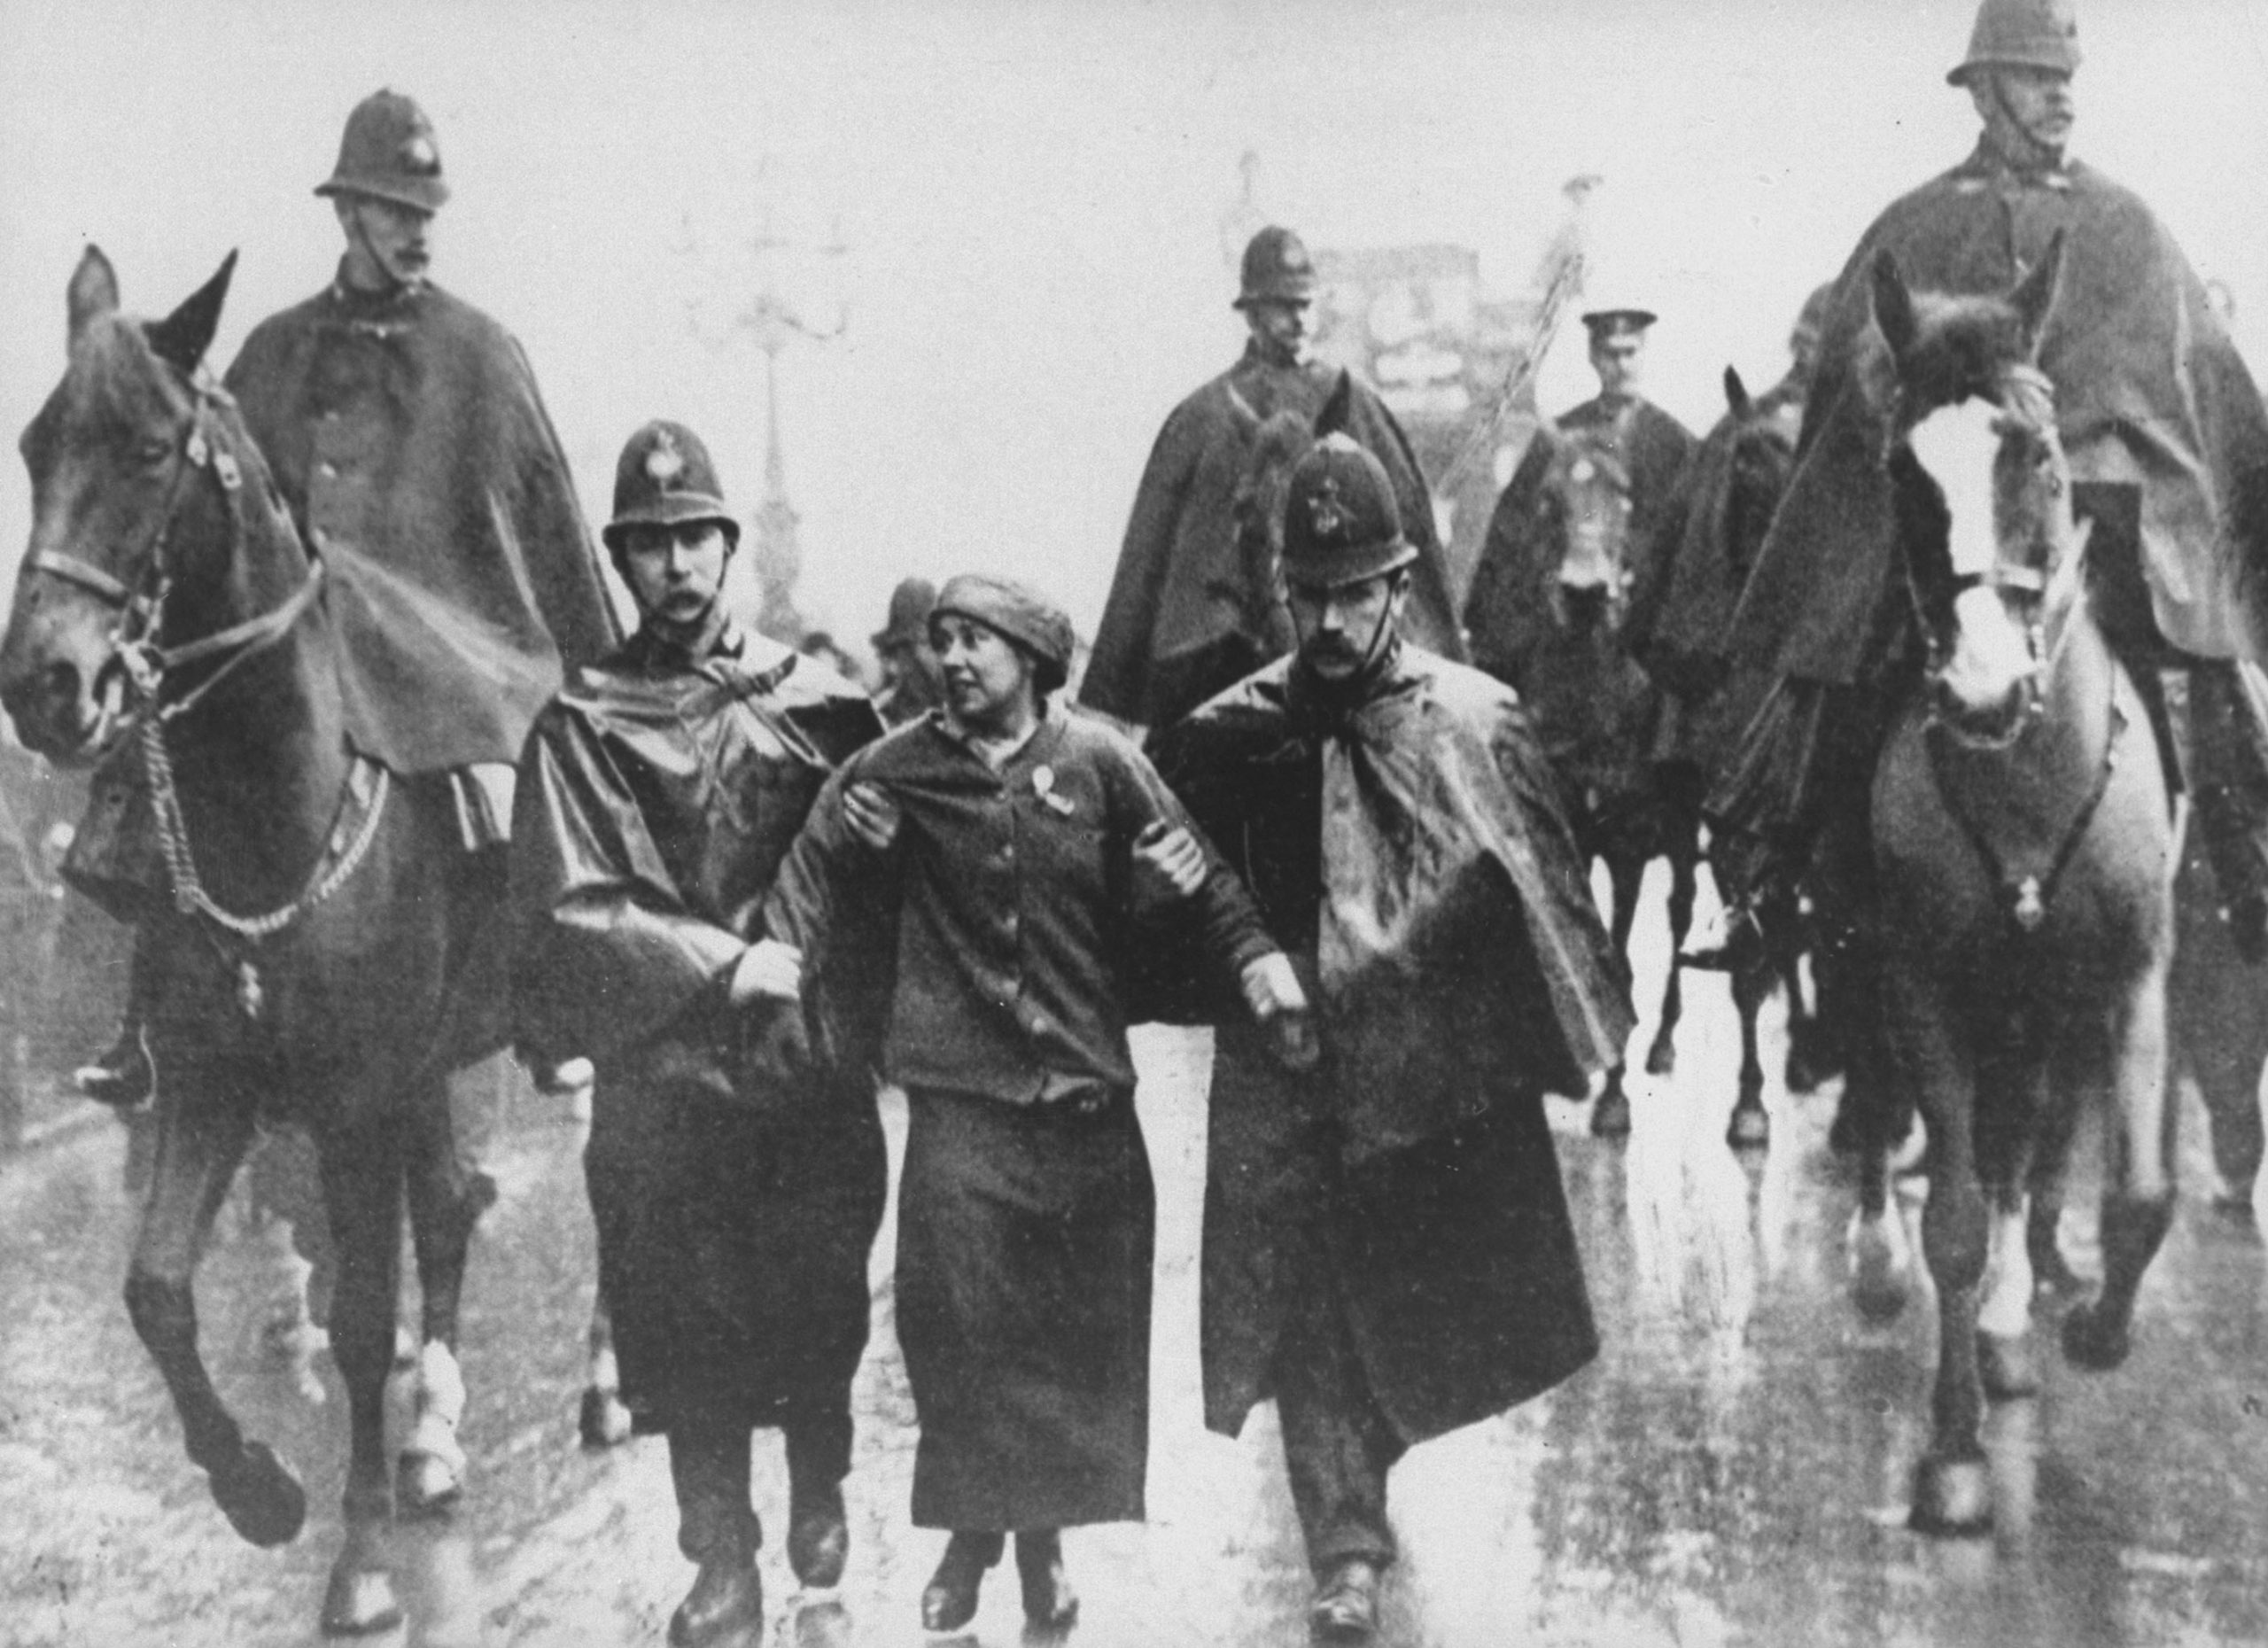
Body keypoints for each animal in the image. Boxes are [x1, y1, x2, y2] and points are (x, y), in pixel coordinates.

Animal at [0, 251, 505, 1632]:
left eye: (148, 447)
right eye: (34, 445)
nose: (42, 684)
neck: (267, 812)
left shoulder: (353, 1103)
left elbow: (362, 1313)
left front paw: (361, 1559)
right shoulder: (212, 1085)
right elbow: (156, 1291)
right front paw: (259, 1490)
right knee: (450, 1206)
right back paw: (428, 1438)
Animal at [1469, 419, 1705, 1133]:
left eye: (1626, 497)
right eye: (1548, 499)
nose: (1584, 592)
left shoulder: (1629, 841)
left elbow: (1620, 956)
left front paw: (1614, 1096)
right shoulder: (1559, 827)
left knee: (1681, 908)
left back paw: (1662, 1041)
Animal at [1850, 237, 2186, 1541]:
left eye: (2038, 457)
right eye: (1901, 470)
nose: (1984, 691)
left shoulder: (2133, 975)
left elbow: (2137, 1191)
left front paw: (2092, 1328)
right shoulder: (1919, 980)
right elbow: (1948, 1212)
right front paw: (1951, 1456)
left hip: (2043, 1002)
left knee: (2025, 1139)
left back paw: (2012, 1327)